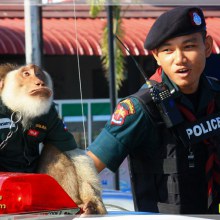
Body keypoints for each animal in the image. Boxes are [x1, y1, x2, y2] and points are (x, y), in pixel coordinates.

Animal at [0, 62, 107, 216]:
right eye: (26, 74)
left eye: (38, 74)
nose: (40, 83)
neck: (17, 109)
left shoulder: (51, 113)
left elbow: (71, 150)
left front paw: (93, 200)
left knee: (55, 148)